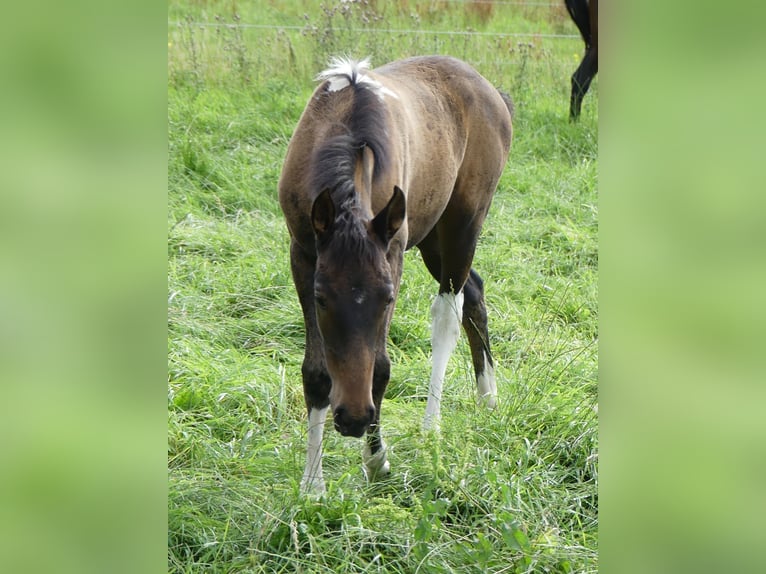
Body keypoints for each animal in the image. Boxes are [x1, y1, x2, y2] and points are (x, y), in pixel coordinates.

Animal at [278, 55, 516, 496]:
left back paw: (432, 427)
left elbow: (381, 364)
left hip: (461, 226)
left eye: (388, 298)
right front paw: (313, 486)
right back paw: (487, 396)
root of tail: (491, 90)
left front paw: (376, 461)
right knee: (475, 292)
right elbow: (317, 371)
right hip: (431, 234)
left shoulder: (392, 255)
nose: (353, 418)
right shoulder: (302, 254)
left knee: (449, 313)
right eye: (321, 297)